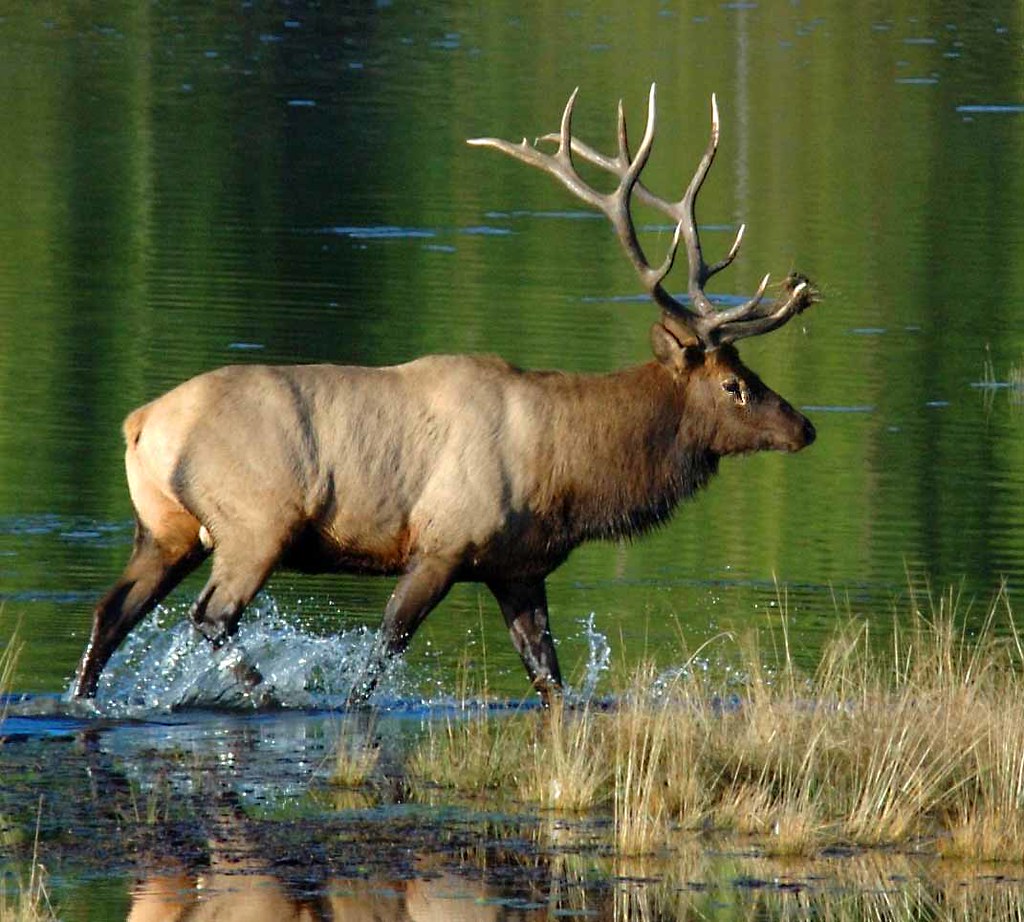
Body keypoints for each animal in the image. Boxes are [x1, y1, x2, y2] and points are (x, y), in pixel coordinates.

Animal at [72, 84, 817, 706]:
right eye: (734, 384)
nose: (805, 427)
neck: (570, 472)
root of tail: (139, 424)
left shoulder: (518, 568)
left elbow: (549, 678)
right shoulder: (444, 542)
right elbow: (379, 658)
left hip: (165, 529)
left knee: (109, 613)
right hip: (255, 525)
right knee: (209, 617)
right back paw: (269, 694)